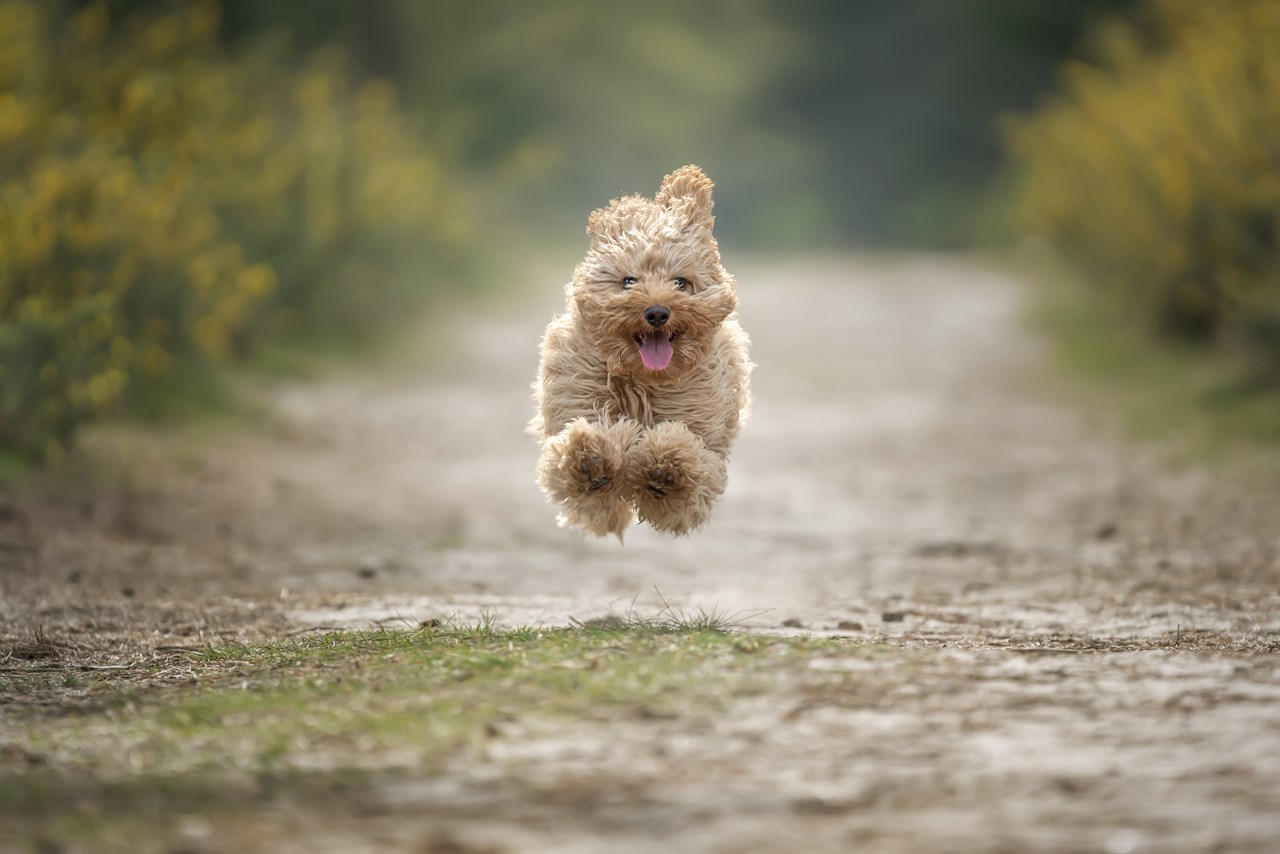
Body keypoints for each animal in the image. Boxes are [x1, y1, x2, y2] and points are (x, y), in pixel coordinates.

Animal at [527, 165, 747, 540]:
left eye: (680, 282)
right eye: (629, 281)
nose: (657, 313)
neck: (643, 379)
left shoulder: (706, 443)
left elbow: (691, 459)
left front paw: (664, 466)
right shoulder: (576, 396)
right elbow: (577, 450)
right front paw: (590, 457)